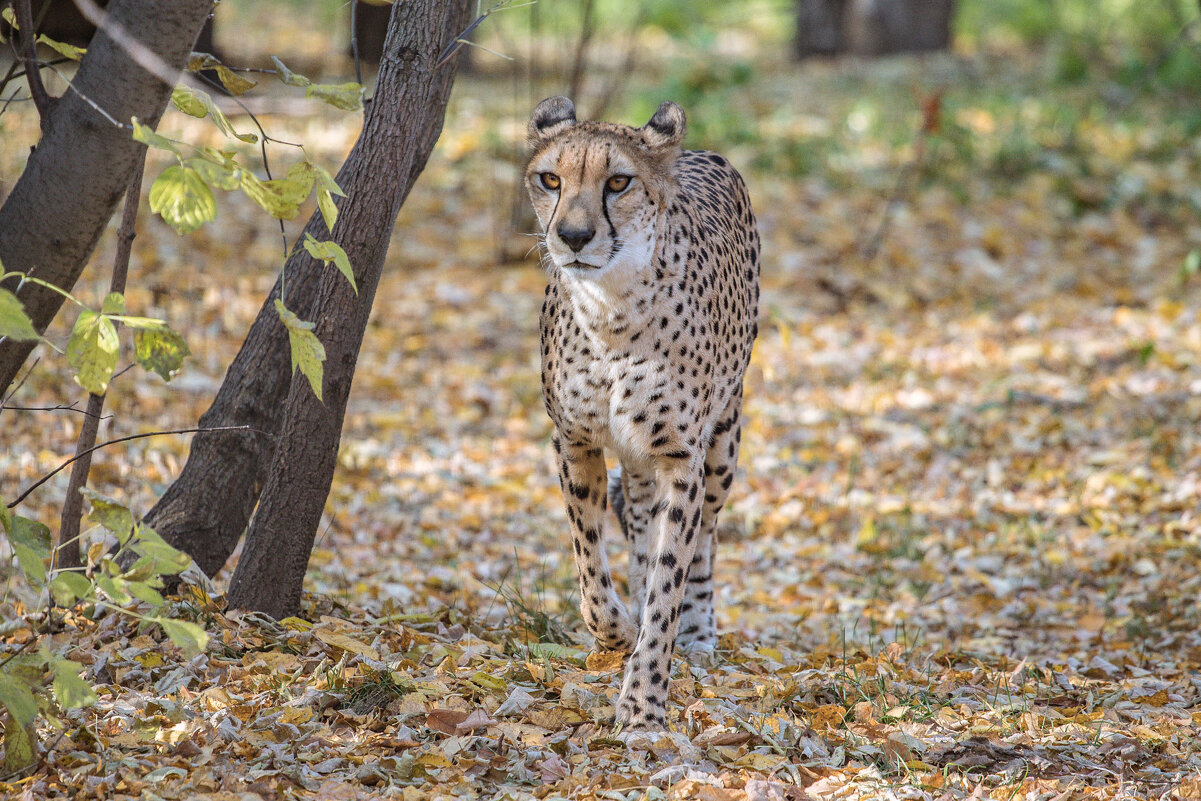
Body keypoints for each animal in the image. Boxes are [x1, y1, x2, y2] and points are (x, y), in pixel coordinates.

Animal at [526, 97, 759, 730]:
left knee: (704, 536)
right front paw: (617, 634)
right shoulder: (575, 441)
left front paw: (644, 700)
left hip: (722, 442)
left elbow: (670, 574)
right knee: (634, 524)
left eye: (618, 182)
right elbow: (590, 566)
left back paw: (698, 634)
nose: (573, 237)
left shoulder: (682, 457)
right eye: (550, 179)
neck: (611, 311)